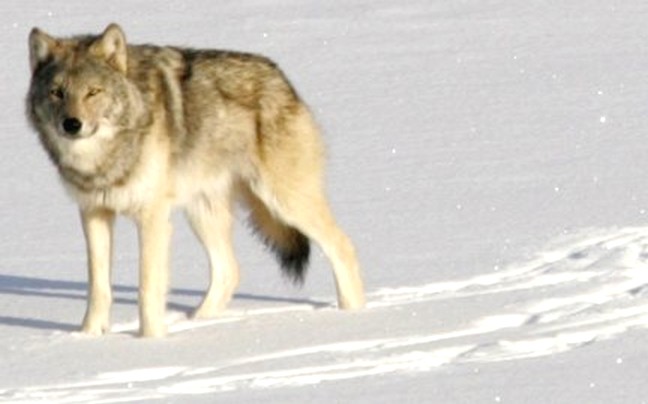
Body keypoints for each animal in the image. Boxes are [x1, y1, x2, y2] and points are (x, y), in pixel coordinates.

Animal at [26, 22, 364, 338]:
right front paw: (89, 337)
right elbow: (98, 287)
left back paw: (354, 314)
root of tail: (282, 78)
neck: (103, 158)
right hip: (202, 213)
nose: (71, 124)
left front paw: (149, 340)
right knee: (229, 270)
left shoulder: (152, 218)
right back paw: (198, 322)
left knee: (343, 245)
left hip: (285, 202)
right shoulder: (94, 213)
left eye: (93, 92)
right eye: (57, 92)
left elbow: (147, 286)